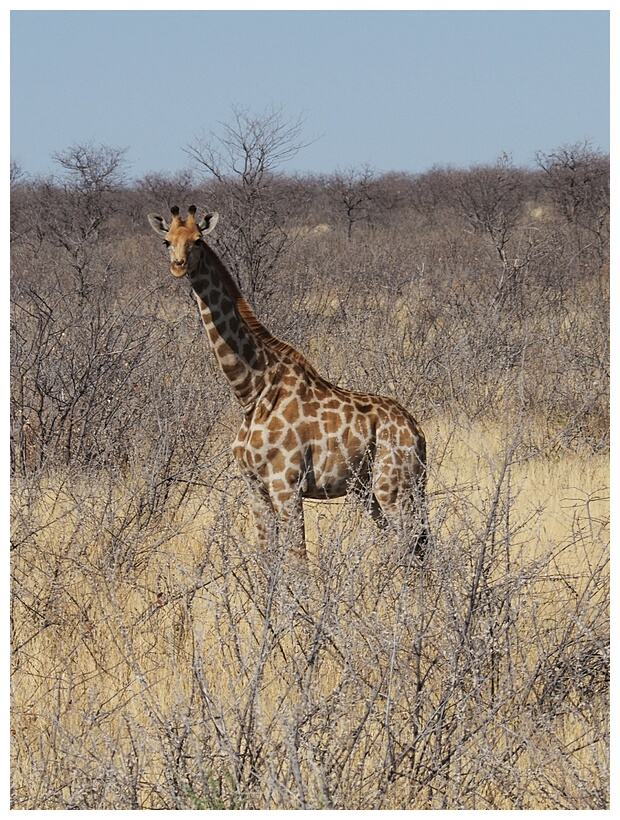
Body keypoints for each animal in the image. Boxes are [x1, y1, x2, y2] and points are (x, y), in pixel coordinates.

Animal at [147, 208, 428, 560]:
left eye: (198, 240)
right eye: (166, 240)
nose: (178, 265)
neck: (251, 391)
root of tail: (417, 431)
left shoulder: (286, 485)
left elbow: (296, 559)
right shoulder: (254, 486)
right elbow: (268, 557)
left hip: (394, 485)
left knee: (415, 545)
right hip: (371, 491)